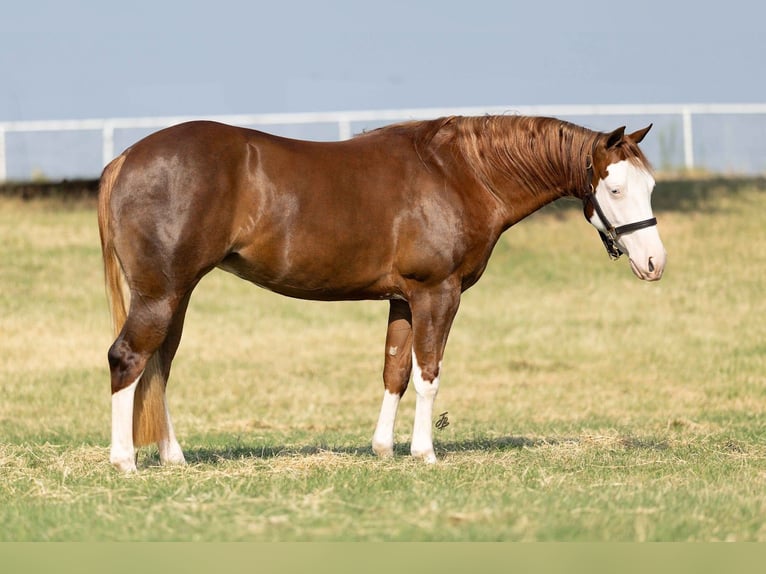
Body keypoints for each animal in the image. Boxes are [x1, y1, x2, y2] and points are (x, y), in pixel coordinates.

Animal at [97, 114, 666, 472]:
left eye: (651, 187)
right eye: (615, 189)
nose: (655, 264)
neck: (461, 173)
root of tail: (126, 158)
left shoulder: (403, 299)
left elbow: (395, 371)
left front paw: (383, 448)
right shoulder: (438, 293)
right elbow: (428, 372)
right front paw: (424, 453)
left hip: (176, 295)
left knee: (159, 366)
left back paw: (172, 457)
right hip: (161, 294)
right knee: (127, 358)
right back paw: (124, 461)